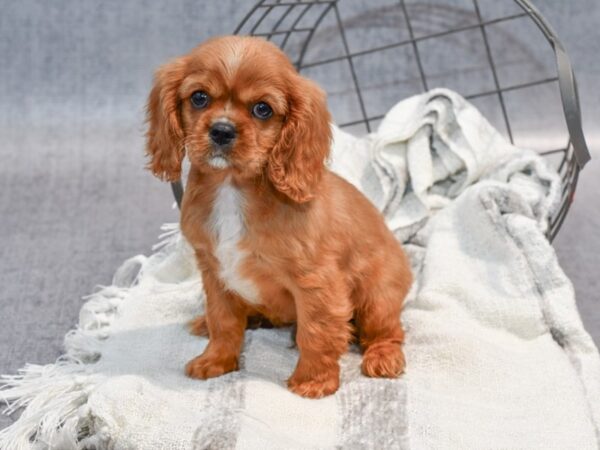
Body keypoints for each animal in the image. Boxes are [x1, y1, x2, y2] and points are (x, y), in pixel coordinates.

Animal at [146, 37, 412, 398]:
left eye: (263, 109)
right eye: (199, 97)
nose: (222, 130)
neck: (232, 189)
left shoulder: (316, 283)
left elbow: (315, 332)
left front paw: (313, 380)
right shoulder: (214, 273)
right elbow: (223, 321)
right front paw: (216, 360)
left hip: (377, 299)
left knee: (389, 330)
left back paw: (383, 356)